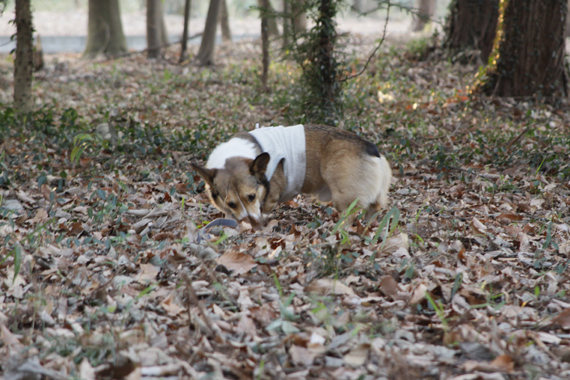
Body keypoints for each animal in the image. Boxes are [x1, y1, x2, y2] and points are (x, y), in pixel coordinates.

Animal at [191, 124, 390, 229]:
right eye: (231, 203)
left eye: (251, 197)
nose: (252, 224)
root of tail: (370, 148)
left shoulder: (270, 195)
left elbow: (265, 206)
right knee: (375, 207)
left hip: (342, 196)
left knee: (350, 214)